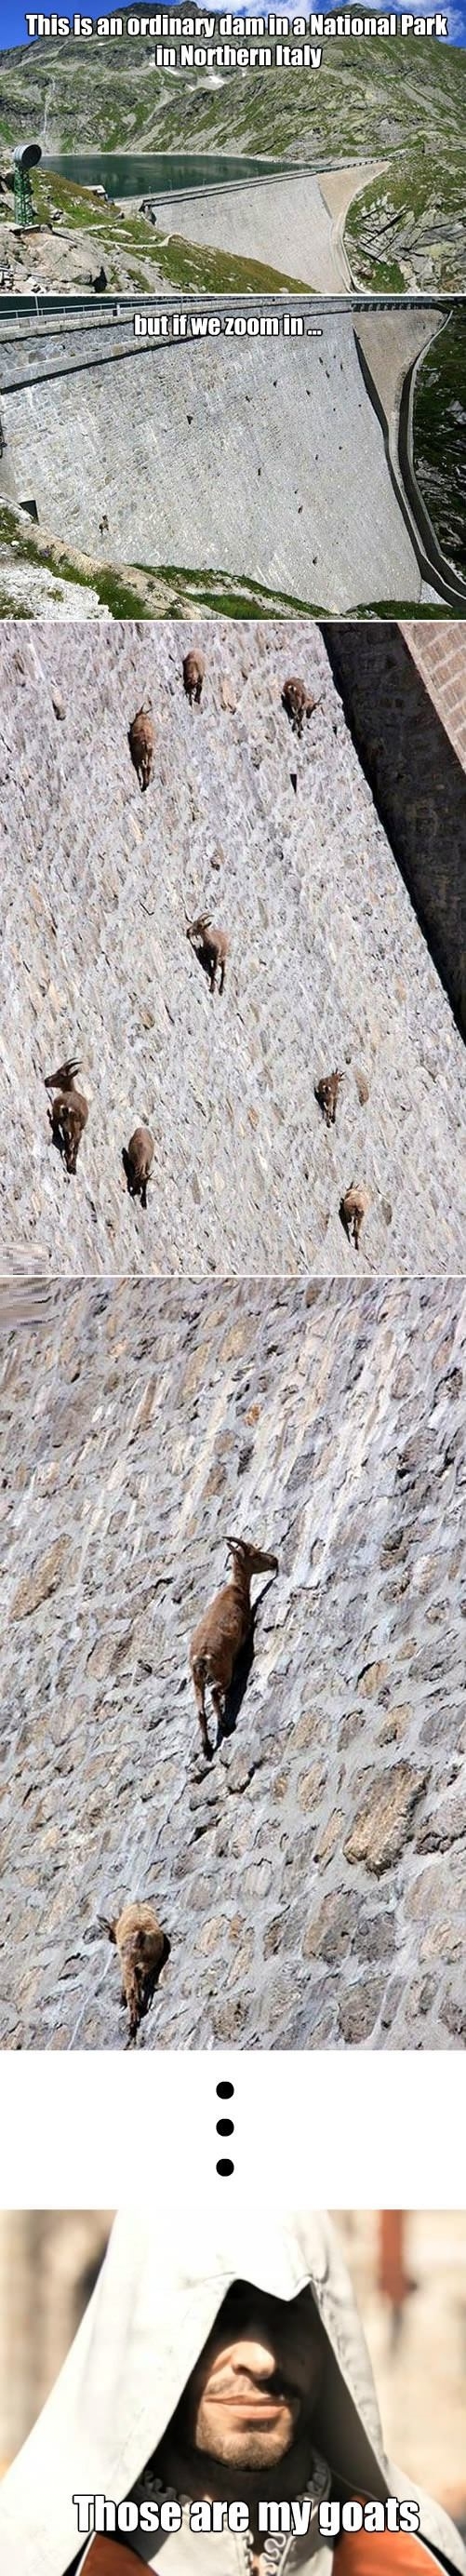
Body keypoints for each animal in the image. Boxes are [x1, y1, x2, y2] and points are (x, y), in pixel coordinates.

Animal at [102, 1901, 168, 2044]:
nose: (110, 1937)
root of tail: (140, 1934)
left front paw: (122, 2000)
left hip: (129, 1962)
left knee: (132, 1987)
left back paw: (134, 2018)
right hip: (151, 1958)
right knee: (140, 1973)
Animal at [189, 1534, 278, 1759]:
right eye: (254, 1553)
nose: (274, 1560)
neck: (236, 1588)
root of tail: (201, 1657)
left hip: (196, 1681)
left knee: (200, 1710)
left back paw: (206, 1747)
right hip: (223, 1671)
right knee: (215, 1692)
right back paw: (225, 1726)